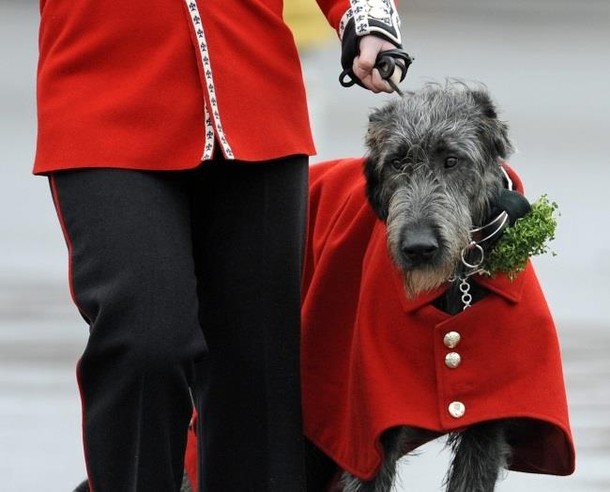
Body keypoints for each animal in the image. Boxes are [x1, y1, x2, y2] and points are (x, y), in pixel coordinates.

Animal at [340, 80, 524, 492]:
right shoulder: (370, 434)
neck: (455, 285)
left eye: (451, 160)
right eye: (396, 162)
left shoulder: (486, 423)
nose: (419, 247)